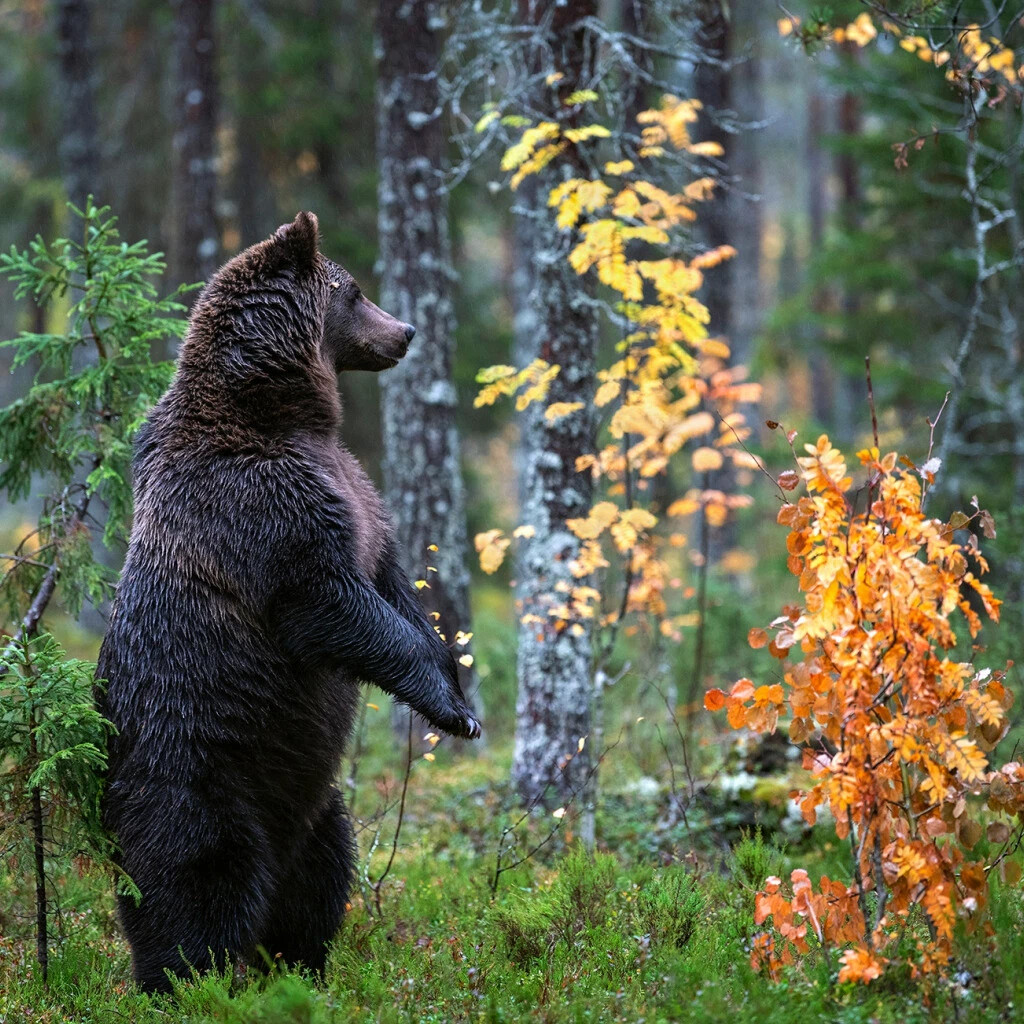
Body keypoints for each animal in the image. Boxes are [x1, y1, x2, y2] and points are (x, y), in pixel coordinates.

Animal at [96, 214, 479, 991]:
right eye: (354, 290)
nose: (407, 331)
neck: (283, 414)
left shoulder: (359, 495)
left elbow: (392, 587)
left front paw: (455, 686)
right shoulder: (262, 507)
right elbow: (331, 603)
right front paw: (451, 709)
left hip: (315, 801)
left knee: (321, 877)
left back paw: (299, 967)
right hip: (194, 775)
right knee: (196, 882)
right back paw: (186, 980)